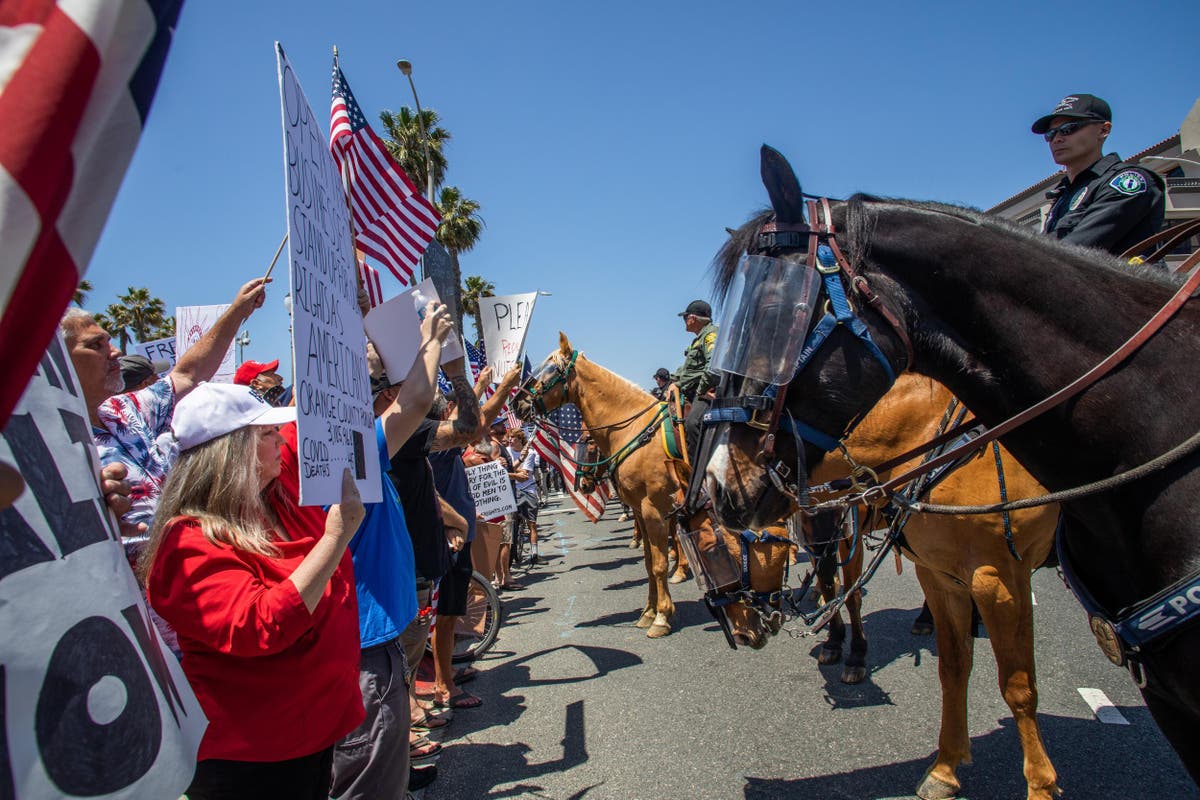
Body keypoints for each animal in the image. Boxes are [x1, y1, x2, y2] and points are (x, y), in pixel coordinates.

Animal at [513, 335, 696, 642]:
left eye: (549, 371)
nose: (516, 404)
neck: (634, 429)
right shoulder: (642, 510)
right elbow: (648, 562)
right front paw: (648, 613)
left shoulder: (655, 508)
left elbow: (659, 563)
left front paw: (662, 616)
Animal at [696, 146, 1200, 796]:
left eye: (773, 317)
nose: (719, 485)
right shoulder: (932, 568)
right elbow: (953, 667)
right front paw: (944, 766)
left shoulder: (998, 576)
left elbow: (1017, 686)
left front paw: (1038, 783)